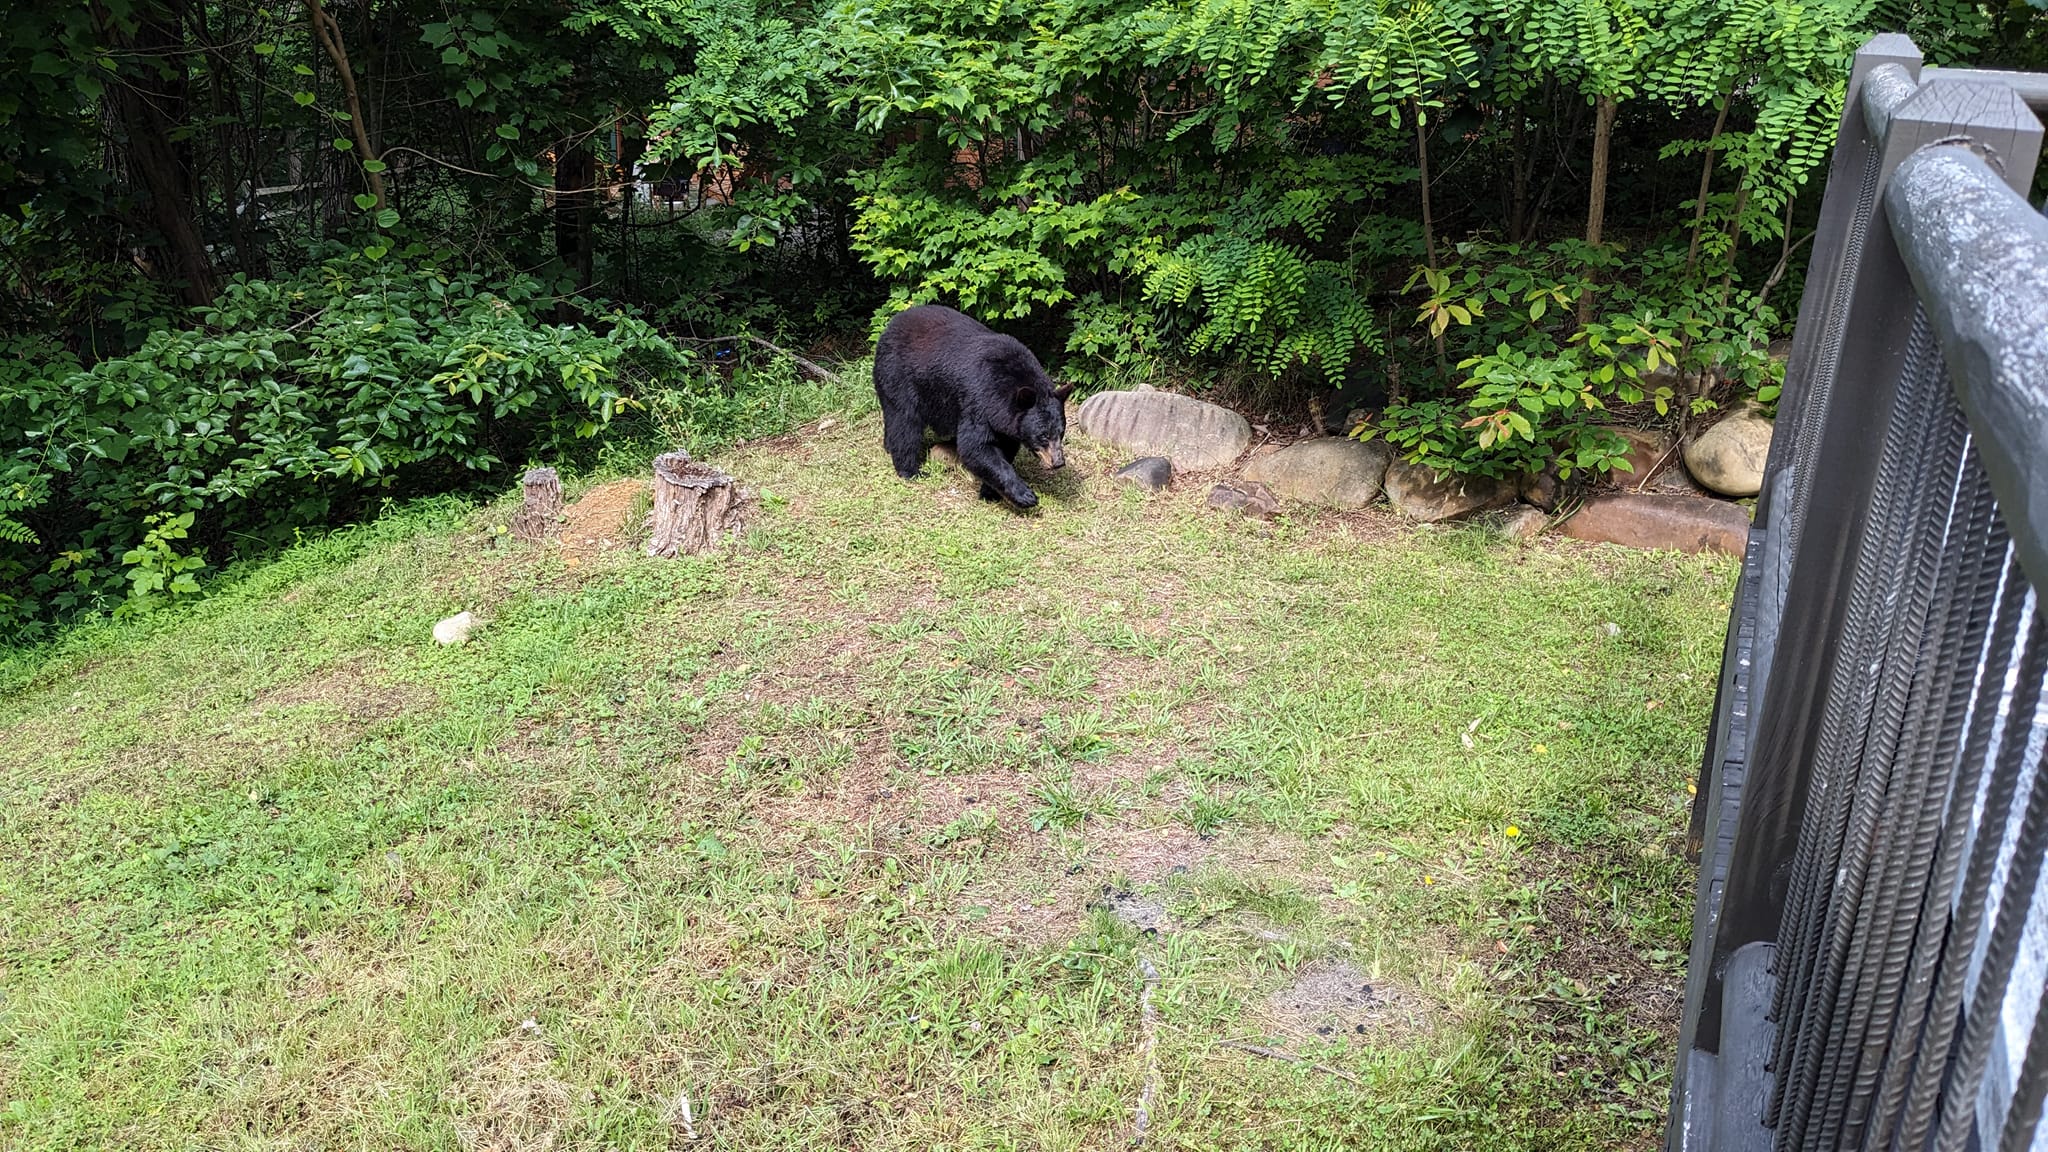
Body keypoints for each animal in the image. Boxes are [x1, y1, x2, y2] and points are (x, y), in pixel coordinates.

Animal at [873, 304, 1075, 510]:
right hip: (899, 375)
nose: (1058, 462)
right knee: (905, 422)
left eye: (1061, 433)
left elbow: (1004, 449)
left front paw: (990, 492)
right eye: (1043, 435)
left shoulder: (1005, 422)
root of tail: (890, 326)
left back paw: (889, 447)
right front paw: (1025, 495)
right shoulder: (979, 401)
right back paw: (911, 470)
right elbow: (975, 446)